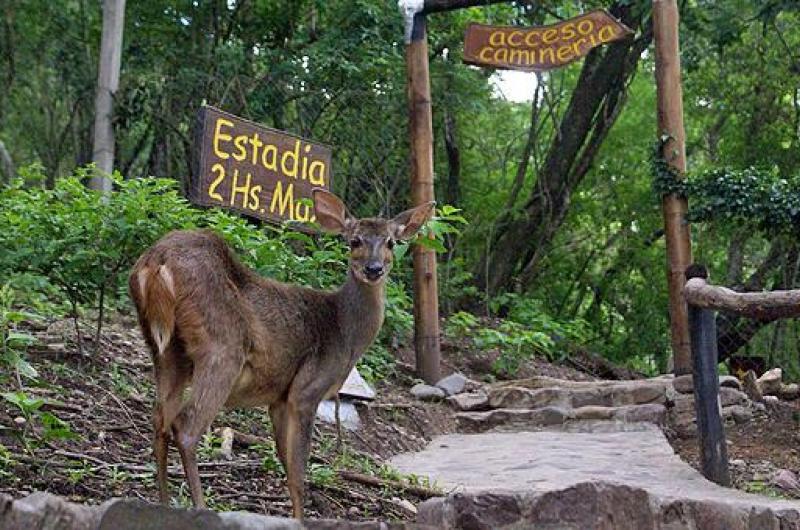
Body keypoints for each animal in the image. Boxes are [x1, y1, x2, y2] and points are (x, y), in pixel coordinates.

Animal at [128, 189, 434, 516]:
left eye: (391, 242)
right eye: (354, 241)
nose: (374, 269)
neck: (342, 329)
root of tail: (155, 262)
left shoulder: (278, 397)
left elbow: (286, 464)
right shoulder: (306, 390)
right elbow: (299, 473)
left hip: (166, 350)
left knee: (159, 420)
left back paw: (162, 505)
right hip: (222, 349)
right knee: (185, 426)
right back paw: (201, 508)